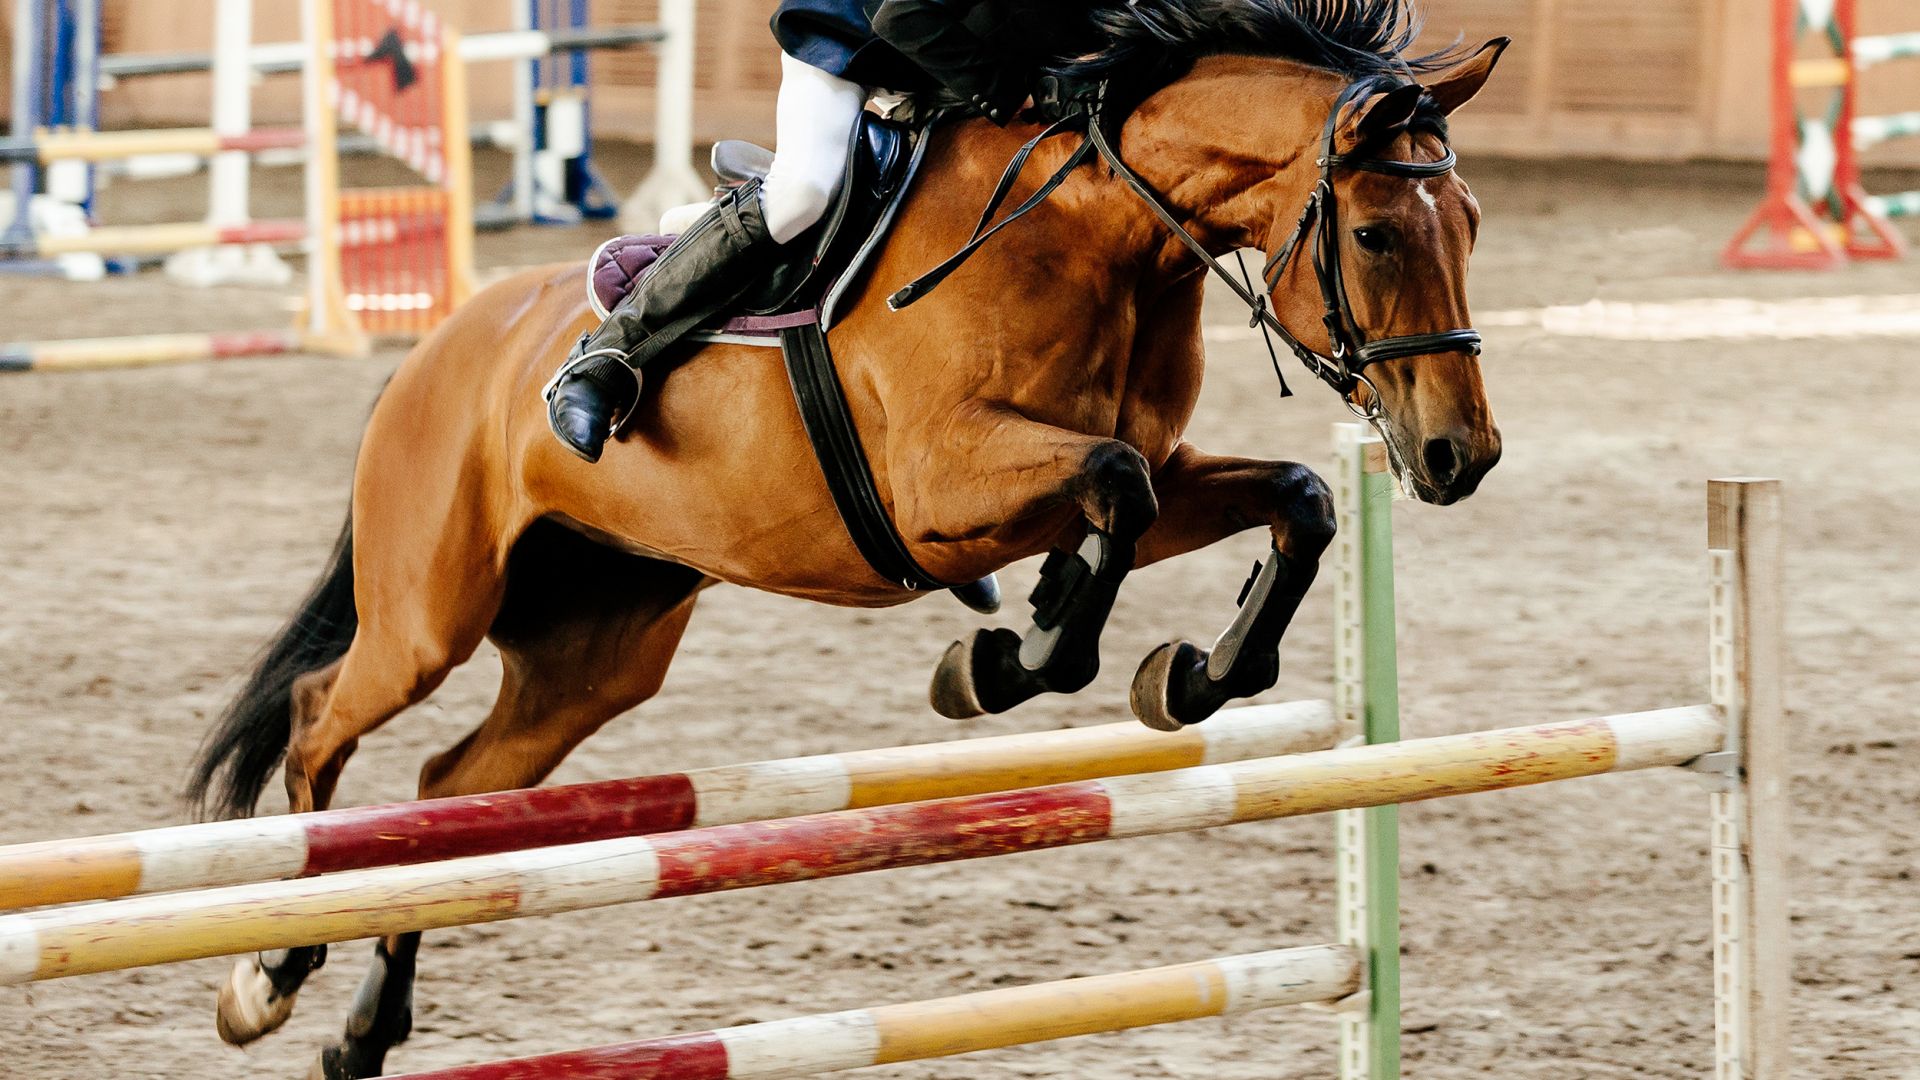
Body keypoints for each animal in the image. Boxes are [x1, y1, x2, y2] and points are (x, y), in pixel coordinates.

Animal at [190, 3, 1505, 1074]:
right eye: (1378, 236)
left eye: (1472, 221)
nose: (1461, 456)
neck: (1100, 236)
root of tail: (443, 341)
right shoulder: (940, 485)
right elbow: (1114, 494)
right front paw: (1010, 658)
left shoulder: (1150, 473)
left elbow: (1294, 498)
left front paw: (1186, 673)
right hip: (431, 614)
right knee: (321, 722)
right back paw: (270, 976)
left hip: (594, 652)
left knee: (449, 794)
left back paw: (364, 1031)